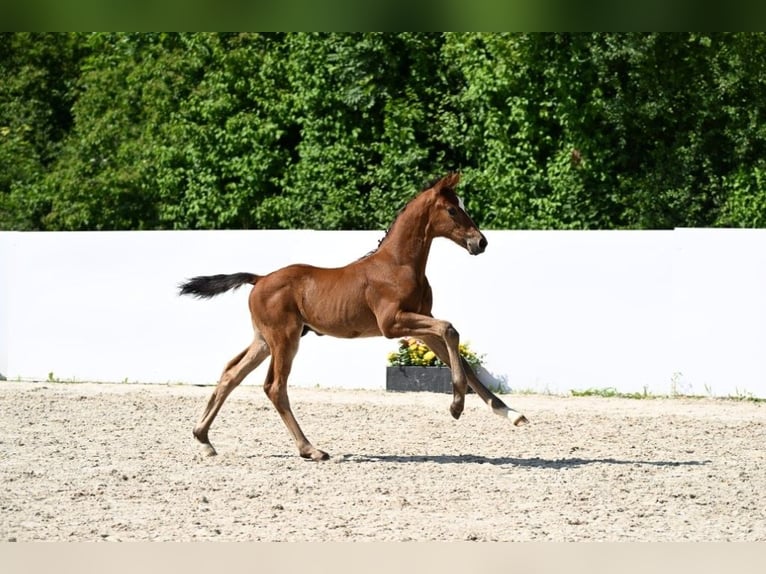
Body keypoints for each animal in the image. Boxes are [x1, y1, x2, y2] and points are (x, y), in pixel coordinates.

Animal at [179, 172, 528, 461]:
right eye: (453, 210)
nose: (480, 242)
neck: (398, 264)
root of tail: (260, 278)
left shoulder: (420, 325)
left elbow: (461, 357)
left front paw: (511, 413)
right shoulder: (392, 324)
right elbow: (450, 328)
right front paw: (456, 406)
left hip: (265, 339)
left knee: (232, 373)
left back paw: (203, 439)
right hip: (284, 338)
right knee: (274, 387)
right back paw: (310, 449)